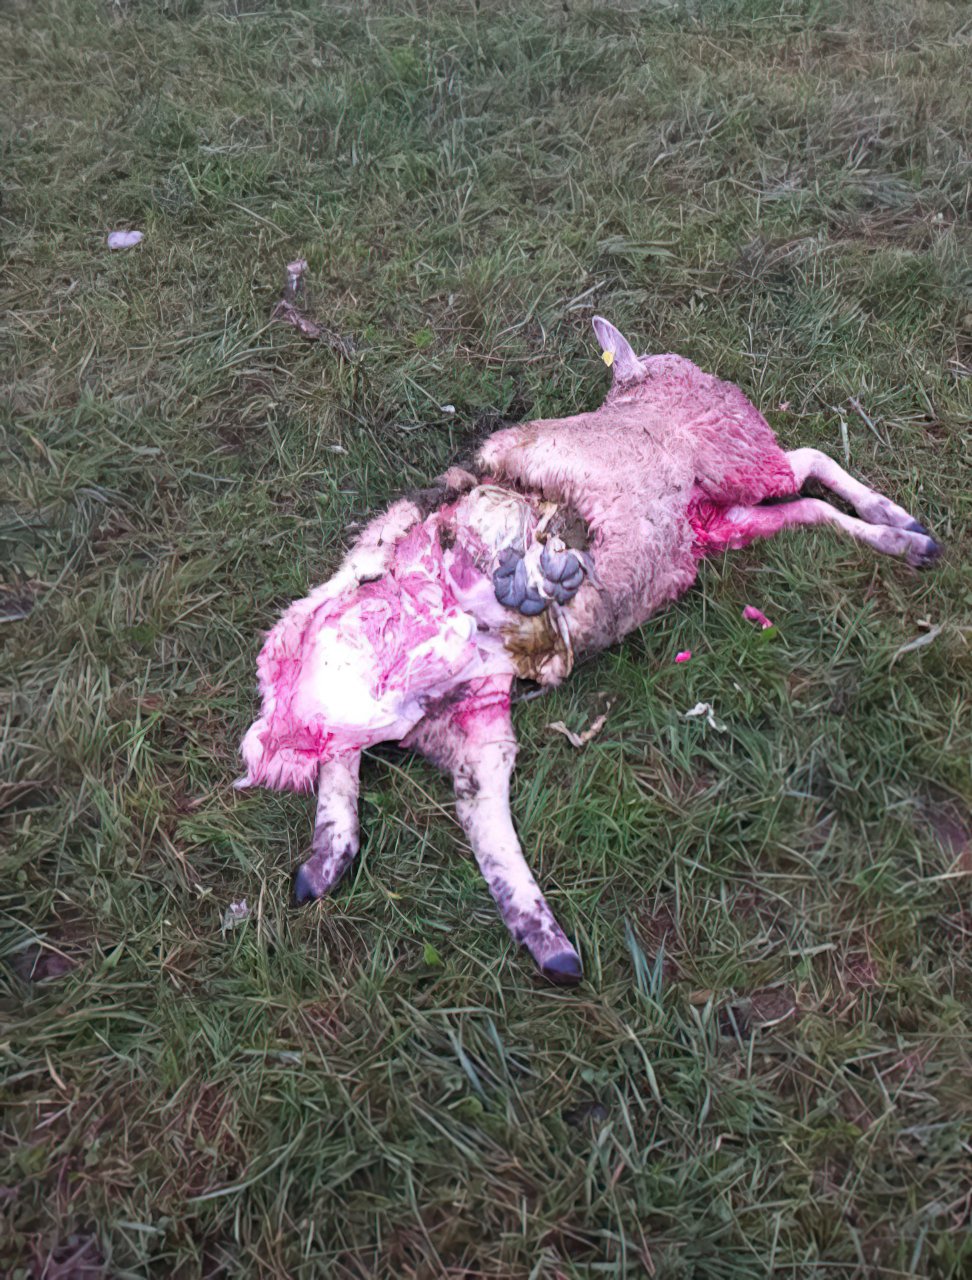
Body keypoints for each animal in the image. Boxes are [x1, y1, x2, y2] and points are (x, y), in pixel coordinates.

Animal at [237, 317, 941, 983]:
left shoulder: (712, 521)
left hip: (473, 707)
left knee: (454, 789)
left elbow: (806, 507)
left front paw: (902, 536)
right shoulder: (729, 468)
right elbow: (810, 466)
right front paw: (904, 525)